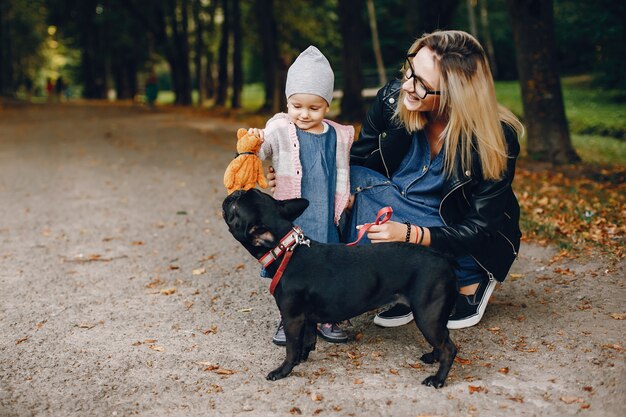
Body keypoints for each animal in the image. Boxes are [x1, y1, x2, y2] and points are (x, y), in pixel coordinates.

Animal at [222, 188, 456, 386]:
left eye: (235, 208)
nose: (234, 193)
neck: (287, 252)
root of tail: (444, 261)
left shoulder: (292, 318)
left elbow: (291, 348)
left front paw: (283, 370)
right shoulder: (306, 318)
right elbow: (308, 340)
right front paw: (302, 358)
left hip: (426, 315)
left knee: (449, 348)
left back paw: (438, 379)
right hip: (434, 317)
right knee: (442, 340)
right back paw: (432, 358)